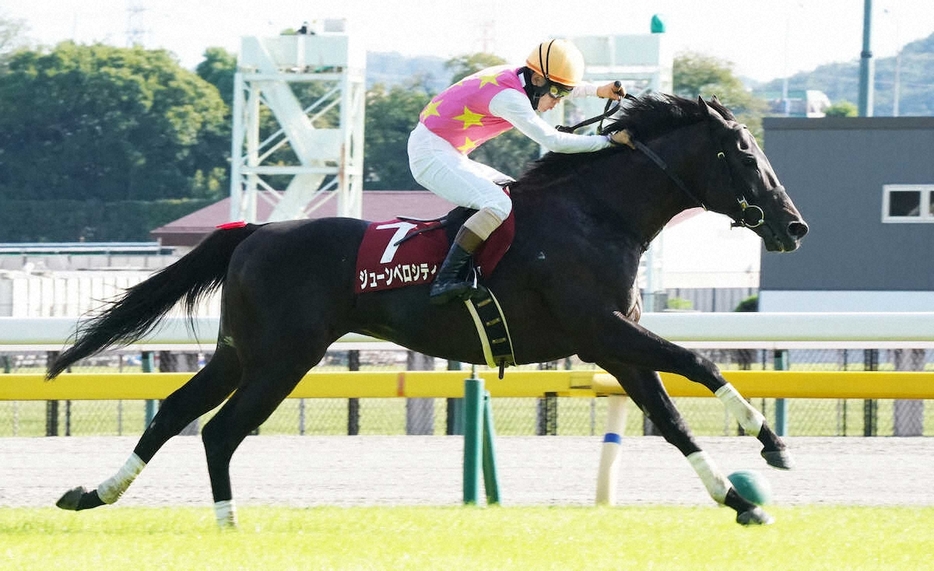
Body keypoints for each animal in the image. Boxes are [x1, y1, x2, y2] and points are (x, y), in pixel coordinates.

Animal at [51, 94, 808, 528]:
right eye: (745, 155)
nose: (793, 226)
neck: (596, 213)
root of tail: (256, 231)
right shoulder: (602, 329)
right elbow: (699, 362)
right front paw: (769, 443)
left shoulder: (613, 344)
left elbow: (672, 417)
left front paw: (740, 501)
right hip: (281, 359)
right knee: (219, 430)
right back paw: (228, 523)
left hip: (241, 352)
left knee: (177, 411)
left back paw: (93, 493)